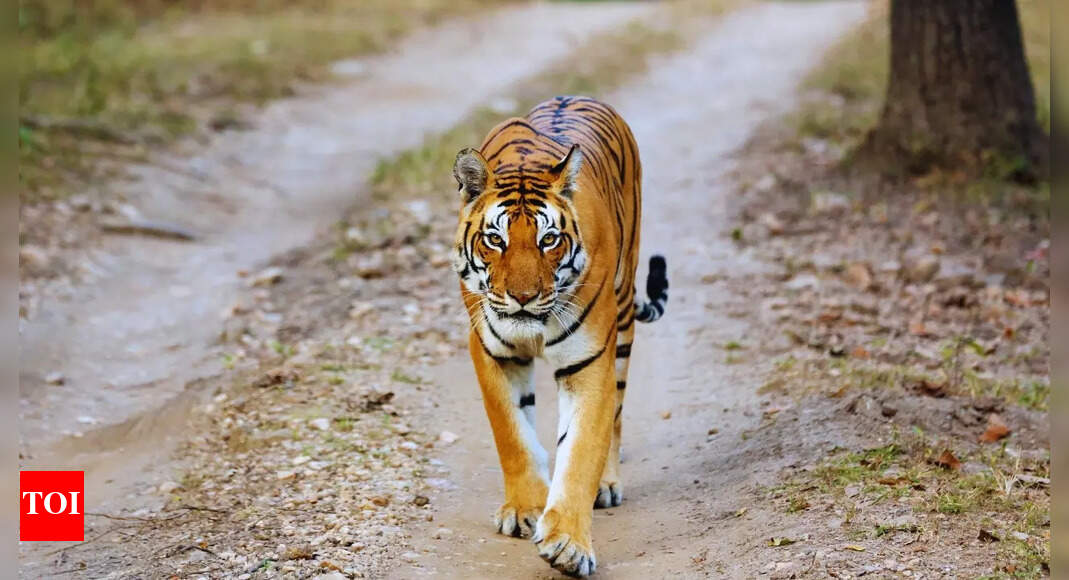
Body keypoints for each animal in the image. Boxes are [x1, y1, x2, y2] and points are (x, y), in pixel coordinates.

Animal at [451, 95, 668, 577]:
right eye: (495, 240)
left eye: (549, 239)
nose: (523, 297)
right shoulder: (492, 352)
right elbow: (513, 434)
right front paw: (525, 509)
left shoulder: (589, 360)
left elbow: (582, 447)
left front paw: (568, 543)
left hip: (622, 317)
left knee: (616, 413)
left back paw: (606, 484)